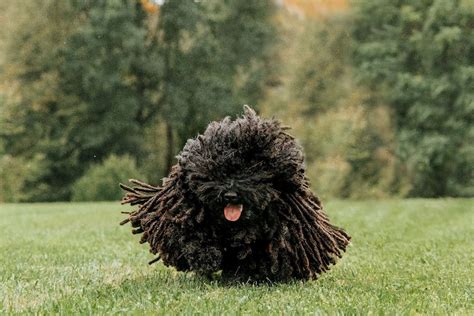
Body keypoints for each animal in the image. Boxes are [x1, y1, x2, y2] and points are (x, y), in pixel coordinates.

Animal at [121, 105, 352, 282]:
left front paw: (243, 275)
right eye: (215, 172)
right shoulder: (182, 209)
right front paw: (206, 258)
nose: (230, 195)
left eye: (252, 170)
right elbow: (188, 237)